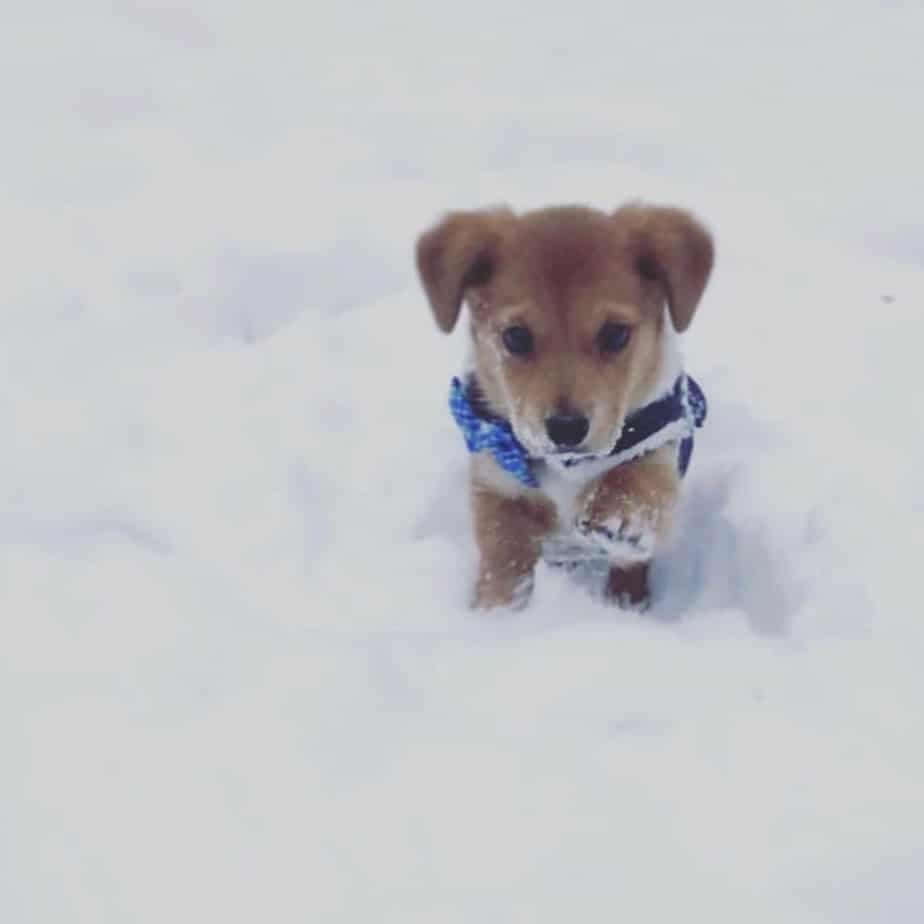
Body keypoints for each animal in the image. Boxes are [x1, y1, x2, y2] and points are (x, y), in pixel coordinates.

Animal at [418, 203, 716, 608]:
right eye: (516, 337)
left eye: (615, 334)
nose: (566, 428)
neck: (566, 467)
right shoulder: (497, 483)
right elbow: (503, 558)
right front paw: (499, 609)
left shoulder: (660, 435)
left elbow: (643, 474)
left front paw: (619, 511)